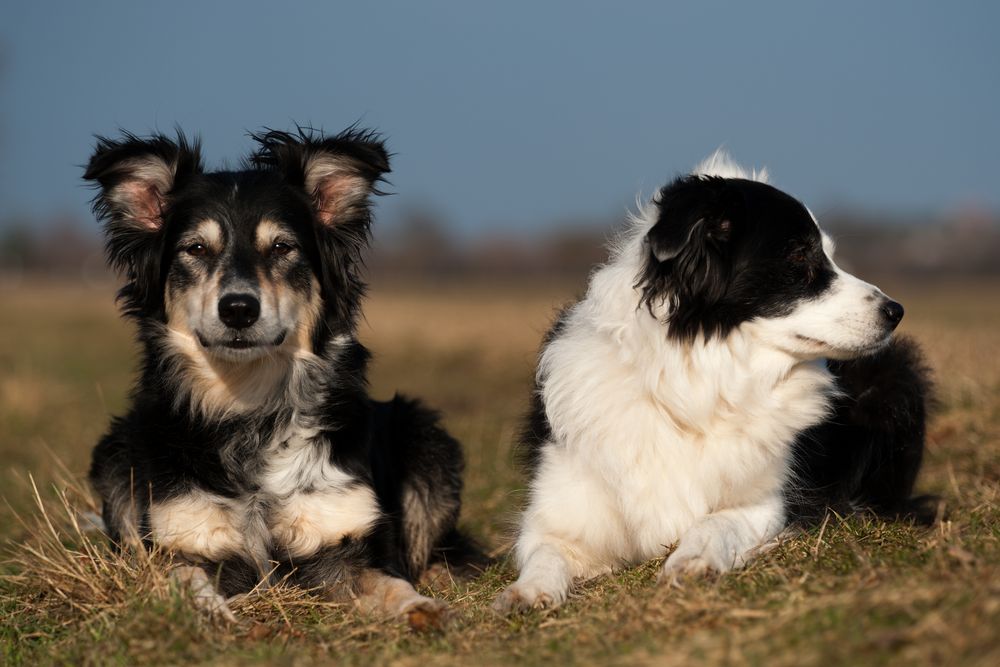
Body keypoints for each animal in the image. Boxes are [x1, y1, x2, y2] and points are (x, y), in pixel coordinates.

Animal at [86, 128, 476, 628]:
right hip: (114, 454)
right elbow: (184, 578)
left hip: (426, 438)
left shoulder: (342, 535)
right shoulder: (184, 540)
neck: (251, 406)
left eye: (281, 248)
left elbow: (389, 581)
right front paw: (207, 614)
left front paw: (422, 609)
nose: (238, 309)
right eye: (196, 249)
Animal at [496, 154, 932, 612]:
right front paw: (526, 592)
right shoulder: (561, 516)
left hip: (894, 376)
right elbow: (545, 552)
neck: (696, 386)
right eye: (800, 255)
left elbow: (715, 522)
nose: (896, 310)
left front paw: (693, 561)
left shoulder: (767, 503)